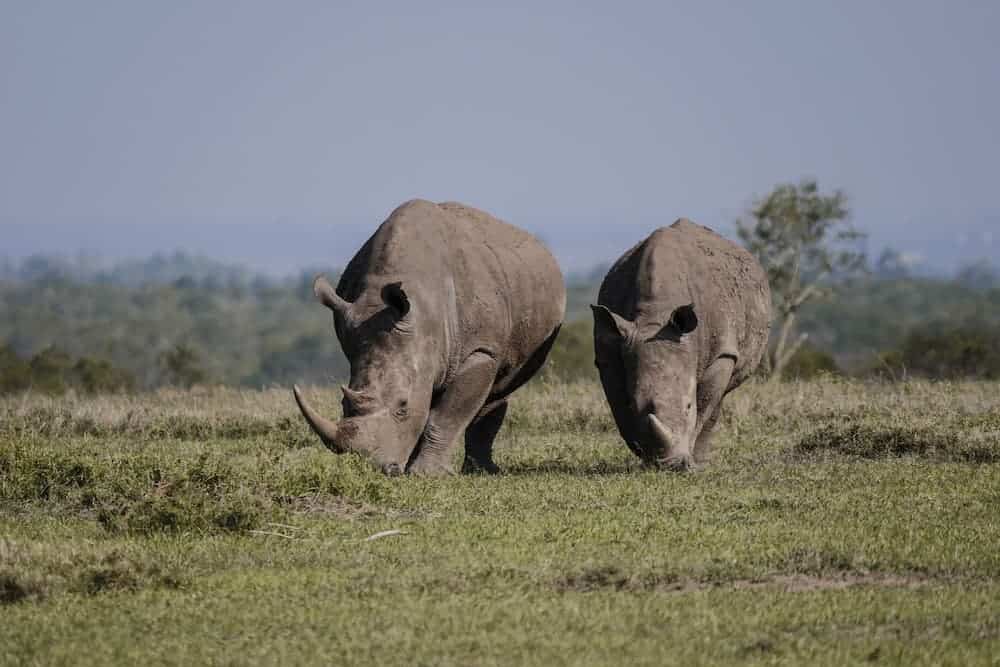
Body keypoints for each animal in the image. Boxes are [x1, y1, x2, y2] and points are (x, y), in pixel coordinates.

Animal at [294, 199, 566, 476]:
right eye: (343, 404)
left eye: (402, 406)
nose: (381, 469)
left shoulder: (480, 351)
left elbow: (446, 415)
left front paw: (426, 474)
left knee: (499, 387)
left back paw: (481, 471)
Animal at [591, 219, 770, 470]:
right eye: (635, 405)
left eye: (688, 407)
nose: (671, 465)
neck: (655, 315)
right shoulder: (610, 354)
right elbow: (619, 407)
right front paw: (643, 455)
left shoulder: (721, 352)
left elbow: (703, 405)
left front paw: (690, 461)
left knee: (719, 397)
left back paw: (701, 460)